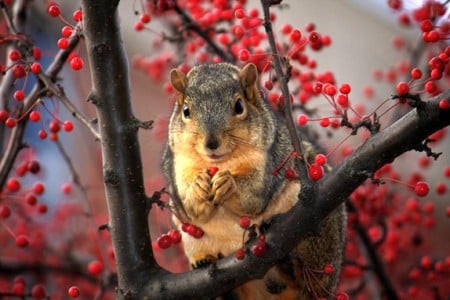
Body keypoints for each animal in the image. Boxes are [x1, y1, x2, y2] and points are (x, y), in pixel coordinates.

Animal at [163, 62, 346, 298]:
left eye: (239, 106)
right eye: (186, 111)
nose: (211, 143)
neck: (221, 163)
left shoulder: (267, 162)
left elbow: (252, 198)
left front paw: (229, 184)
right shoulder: (178, 166)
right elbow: (189, 207)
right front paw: (197, 187)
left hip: (322, 235)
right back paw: (204, 263)